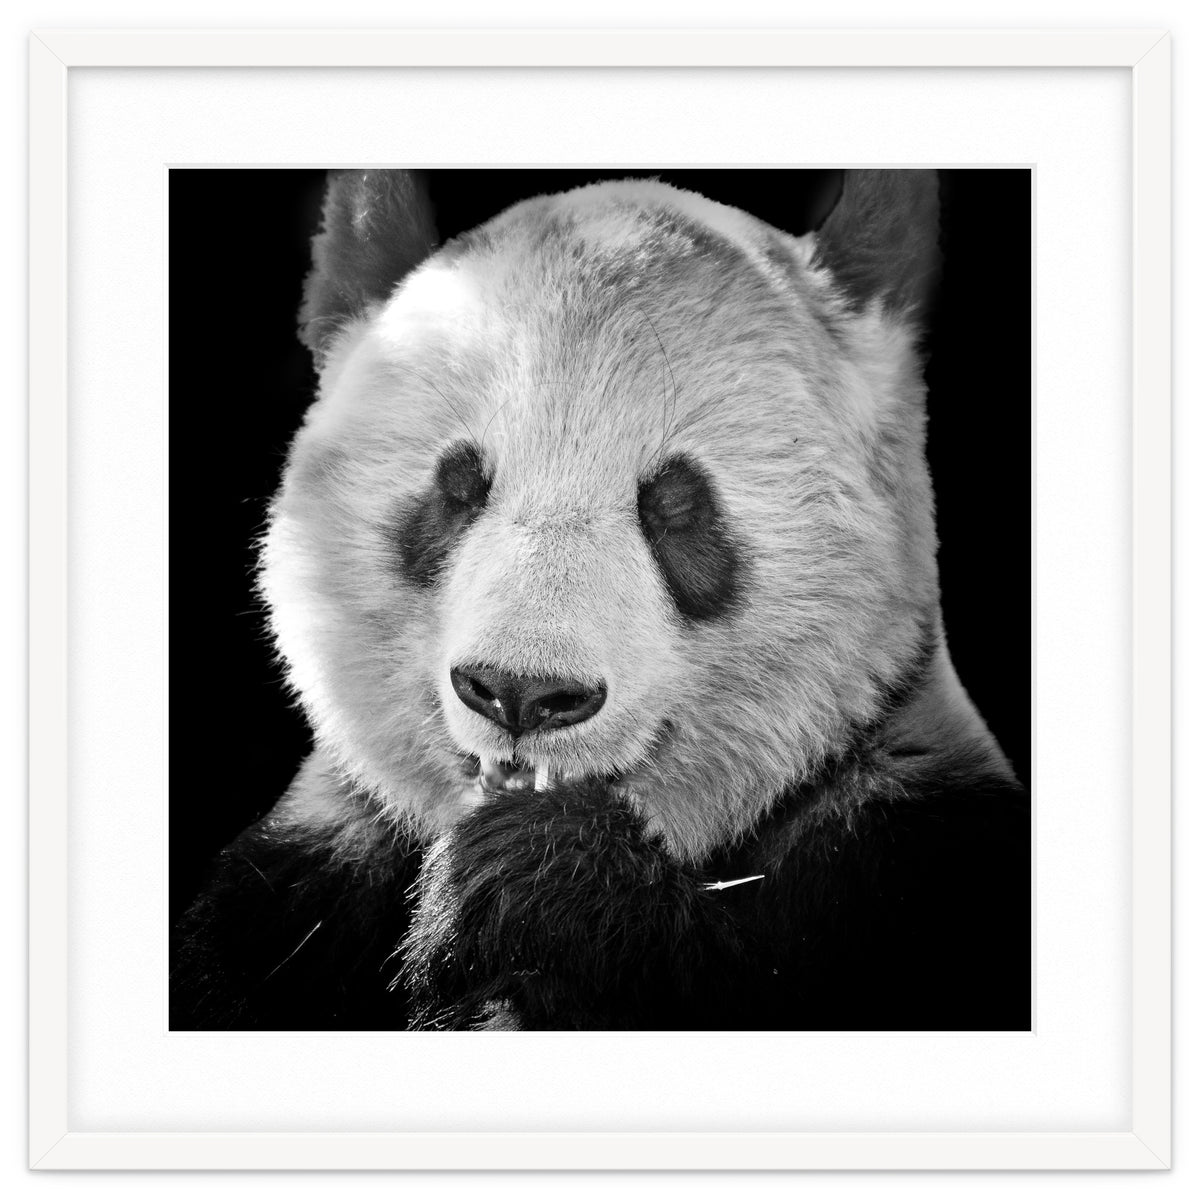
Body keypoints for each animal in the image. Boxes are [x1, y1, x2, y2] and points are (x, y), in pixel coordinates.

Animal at [171, 168, 1030, 1033]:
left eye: (676, 505)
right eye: (458, 487)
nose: (521, 693)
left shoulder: (904, 853)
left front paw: (538, 878)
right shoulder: (295, 889)